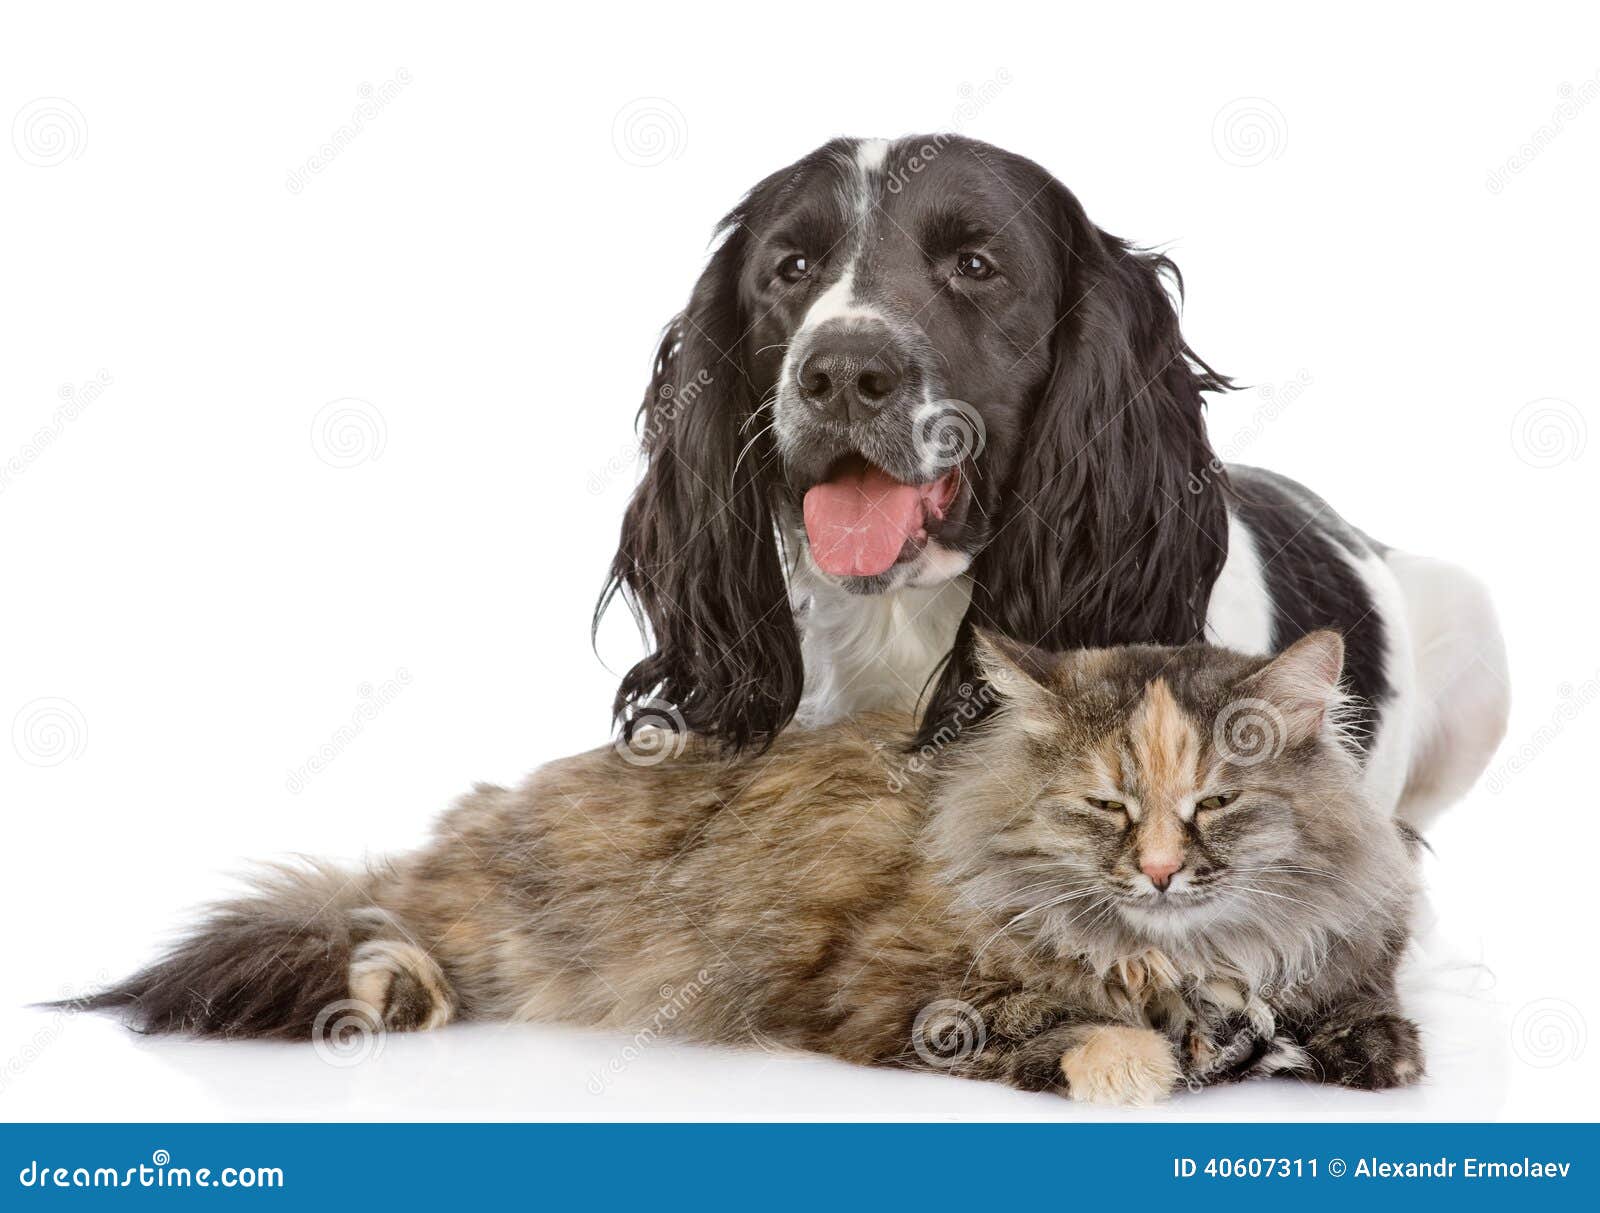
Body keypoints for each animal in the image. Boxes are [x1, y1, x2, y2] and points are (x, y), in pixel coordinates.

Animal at [78, 630, 1427, 1107]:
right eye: (1106, 805)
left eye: (1214, 806)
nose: (1153, 871)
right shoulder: (891, 996)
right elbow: (1085, 1033)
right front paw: (1145, 1051)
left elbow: (1363, 1010)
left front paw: (1362, 1051)